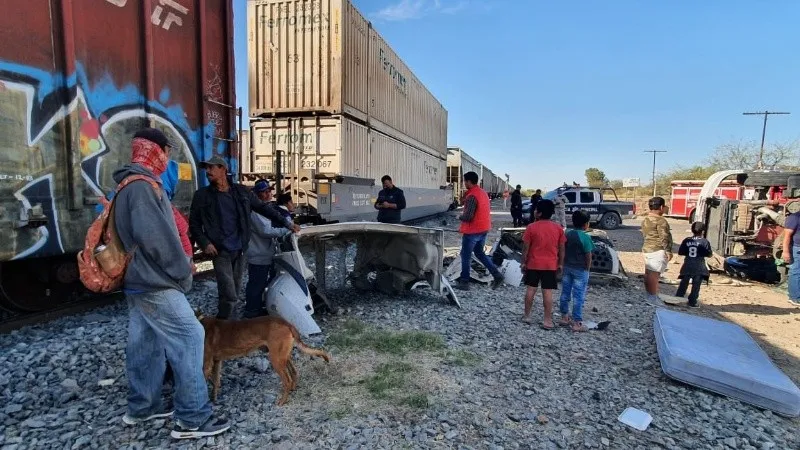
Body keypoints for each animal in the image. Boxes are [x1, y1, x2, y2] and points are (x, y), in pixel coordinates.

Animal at [195, 312, 330, 406]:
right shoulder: (217, 362)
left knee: (287, 380)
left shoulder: (206, 366)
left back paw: (282, 401)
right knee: (294, 373)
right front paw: (213, 400)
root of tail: (287, 323)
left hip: (276, 359)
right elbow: (215, 383)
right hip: (283, 357)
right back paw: (292, 389)